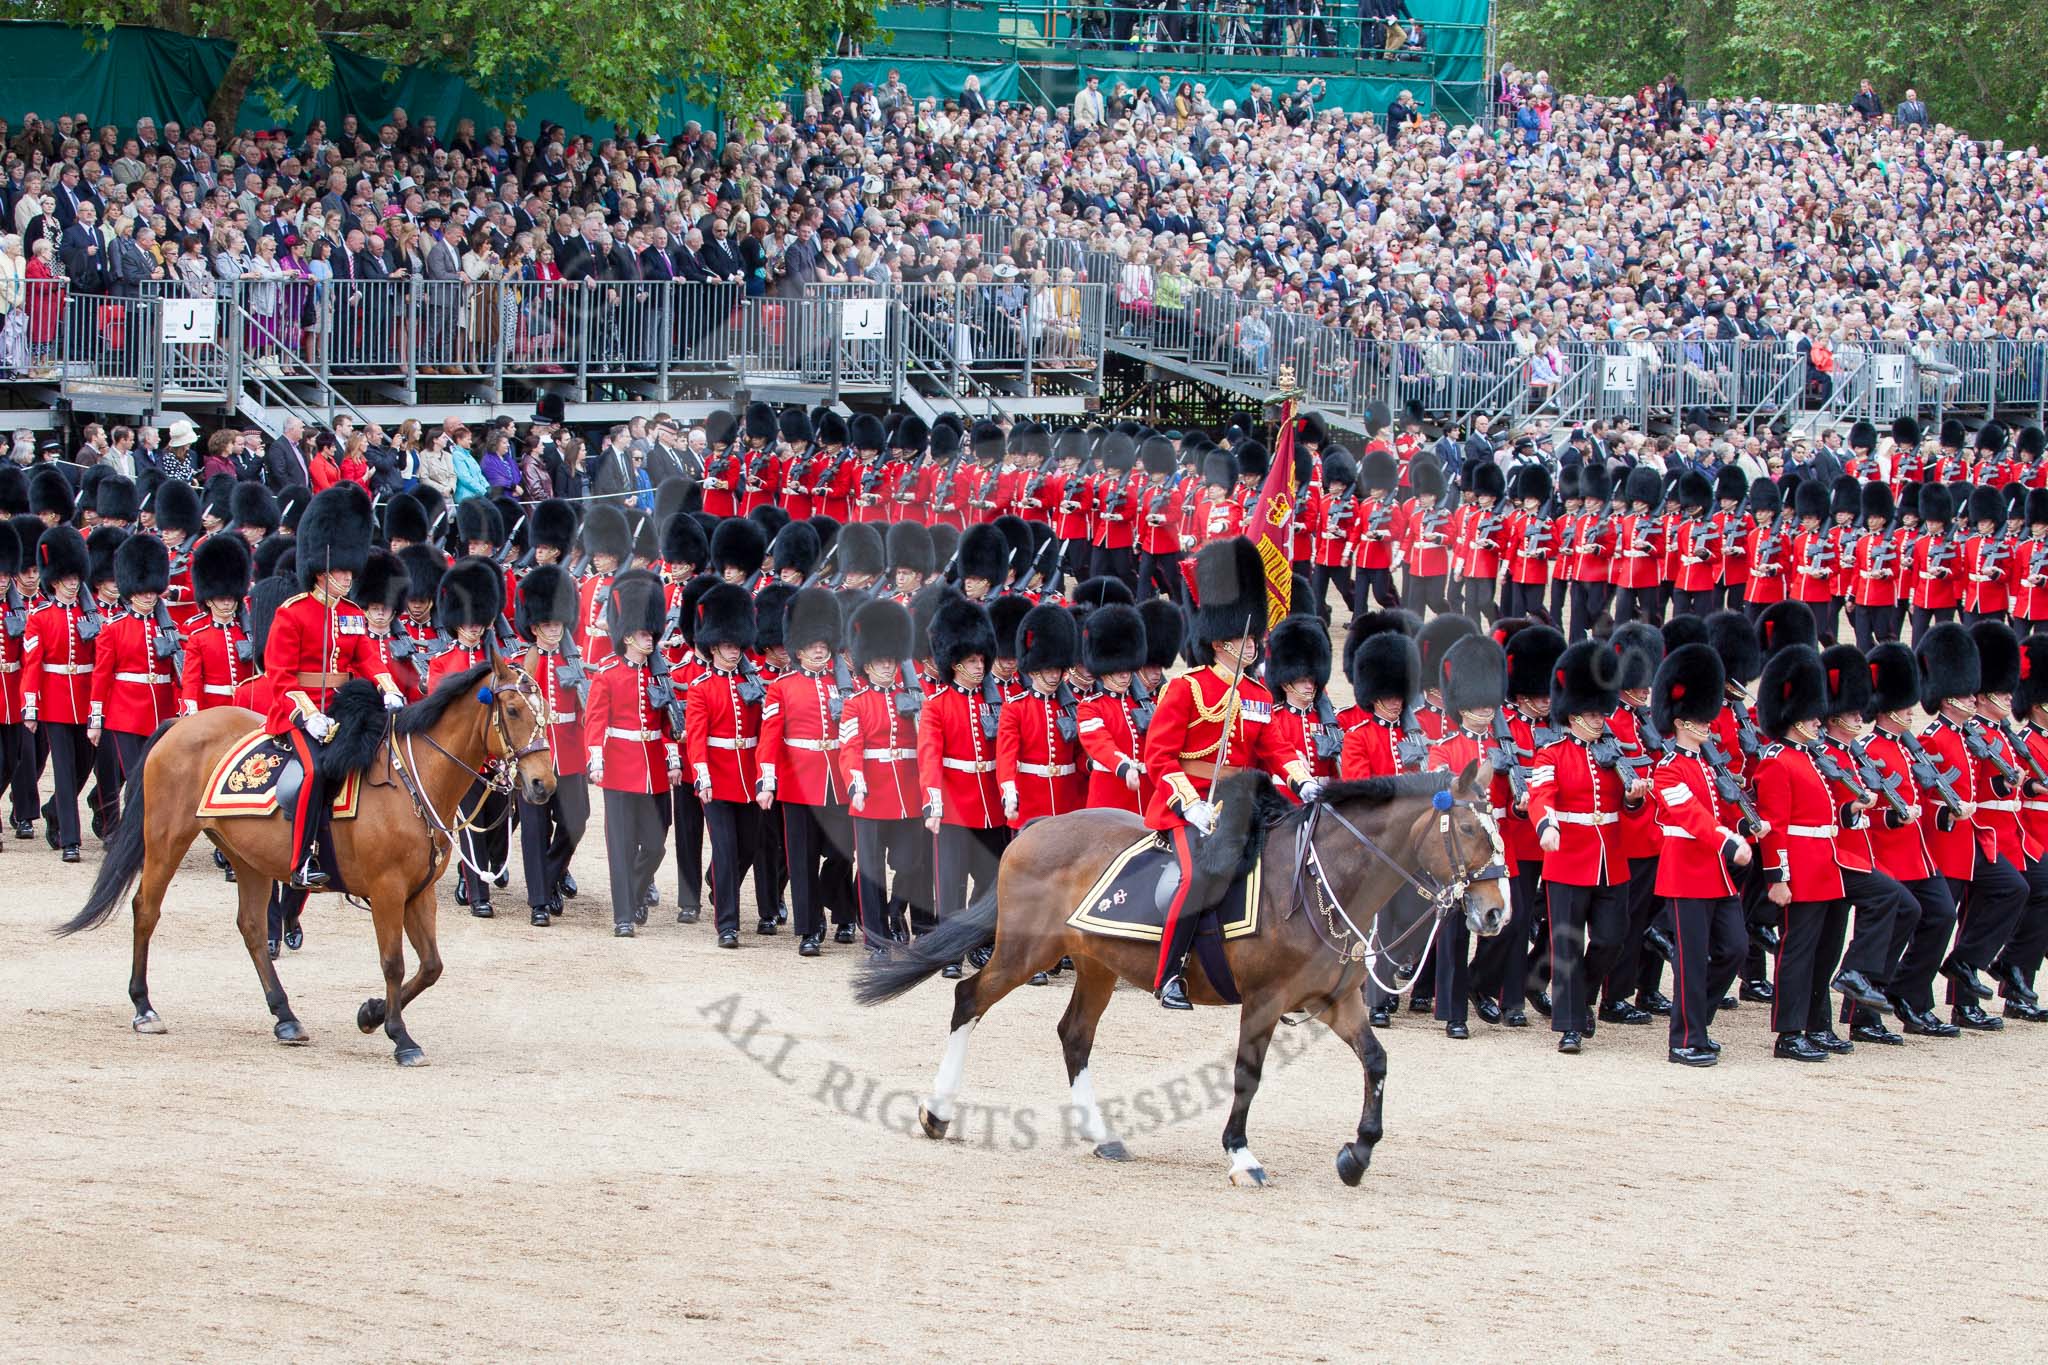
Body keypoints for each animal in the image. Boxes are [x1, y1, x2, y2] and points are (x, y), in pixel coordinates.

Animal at [58, 654, 552, 1064]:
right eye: (512, 711)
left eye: (544, 710)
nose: (542, 784)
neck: (415, 778)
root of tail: (181, 724)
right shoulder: (387, 890)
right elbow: (394, 962)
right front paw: (400, 1036)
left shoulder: (419, 891)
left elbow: (431, 966)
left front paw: (371, 1013)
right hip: (166, 840)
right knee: (146, 910)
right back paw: (144, 1007)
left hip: (248, 858)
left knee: (252, 928)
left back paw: (285, 1017)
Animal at [847, 769, 1507, 1186]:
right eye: (1471, 830)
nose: (1495, 914)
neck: (1320, 881)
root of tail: (1036, 828)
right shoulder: (1264, 1001)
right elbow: (1247, 1075)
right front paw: (1241, 1155)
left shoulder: (1336, 1001)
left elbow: (1376, 1063)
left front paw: (1358, 1155)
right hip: (1025, 953)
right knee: (968, 999)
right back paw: (937, 1113)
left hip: (1095, 965)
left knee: (1074, 1035)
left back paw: (1100, 1134)